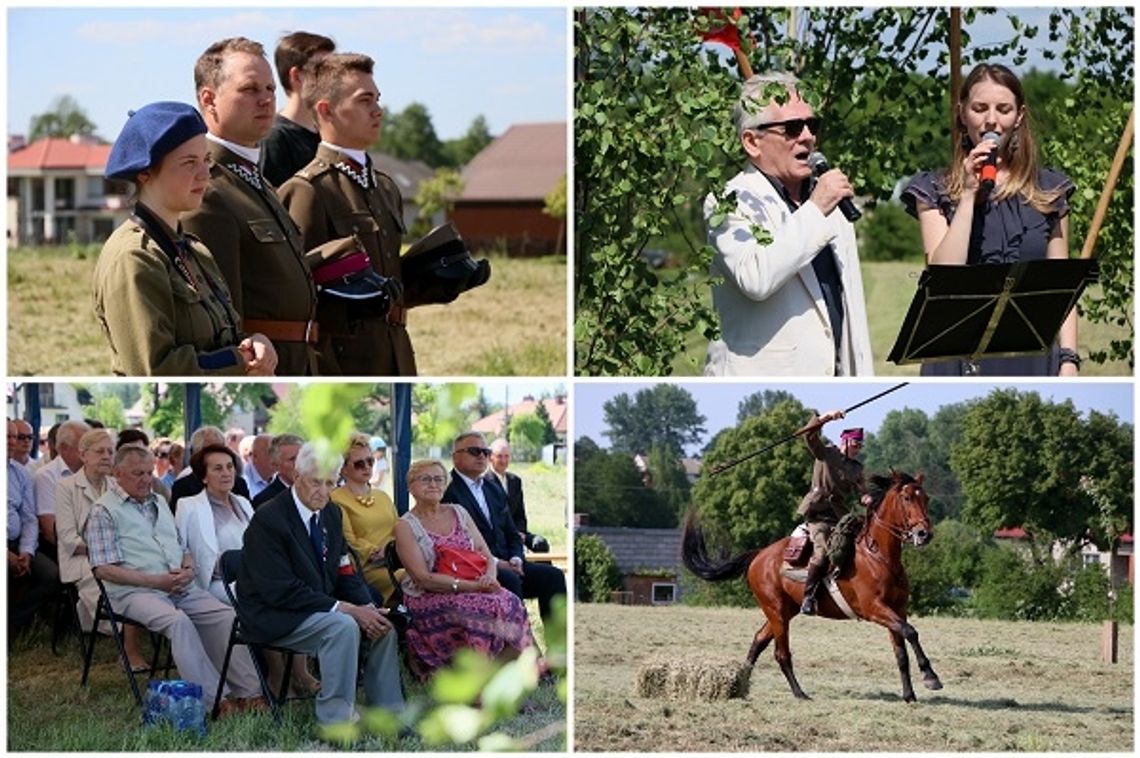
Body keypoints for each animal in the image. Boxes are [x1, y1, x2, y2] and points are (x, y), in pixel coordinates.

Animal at [679, 469, 939, 702]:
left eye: (926, 498)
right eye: (907, 498)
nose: (924, 534)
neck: (878, 556)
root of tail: (759, 555)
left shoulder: (897, 610)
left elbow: (901, 653)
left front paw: (909, 695)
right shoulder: (875, 609)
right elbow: (911, 632)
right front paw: (930, 676)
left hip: (784, 611)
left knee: (759, 640)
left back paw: (740, 685)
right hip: (777, 612)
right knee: (781, 654)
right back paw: (799, 693)